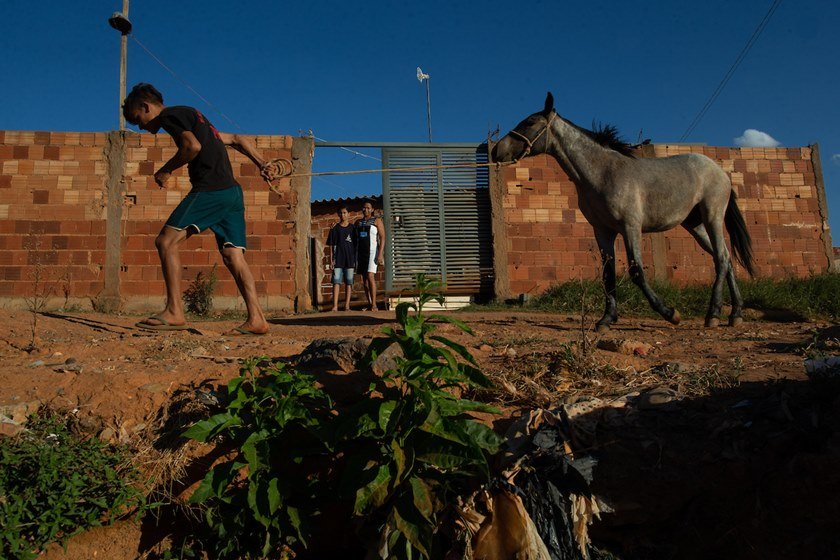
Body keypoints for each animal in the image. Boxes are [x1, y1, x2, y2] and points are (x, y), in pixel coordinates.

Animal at [492, 91, 756, 328]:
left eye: (529, 122)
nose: (496, 151)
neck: (603, 173)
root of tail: (721, 171)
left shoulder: (631, 227)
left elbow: (636, 271)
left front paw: (670, 313)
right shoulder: (602, 231)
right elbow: (608, 275)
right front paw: (606, 319)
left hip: (712, 216)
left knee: (721, 258)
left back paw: (713, 315)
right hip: (695, 224)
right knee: (727, 258)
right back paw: (735, 315)